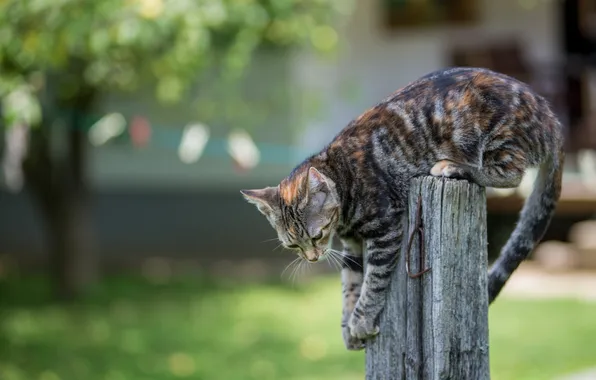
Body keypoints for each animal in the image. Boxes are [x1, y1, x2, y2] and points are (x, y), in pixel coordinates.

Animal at [239, 67, 564, 350]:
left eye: (316, 236)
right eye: (293, 245)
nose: (312, 257)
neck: (342, 176)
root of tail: (552, 118)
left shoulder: (385, 230)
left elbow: (373, 282)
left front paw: (361, 320)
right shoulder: (352, 244)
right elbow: (350, 284)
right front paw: (347, 324)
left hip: (493, 137)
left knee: (513, 175)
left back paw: (454, 167)